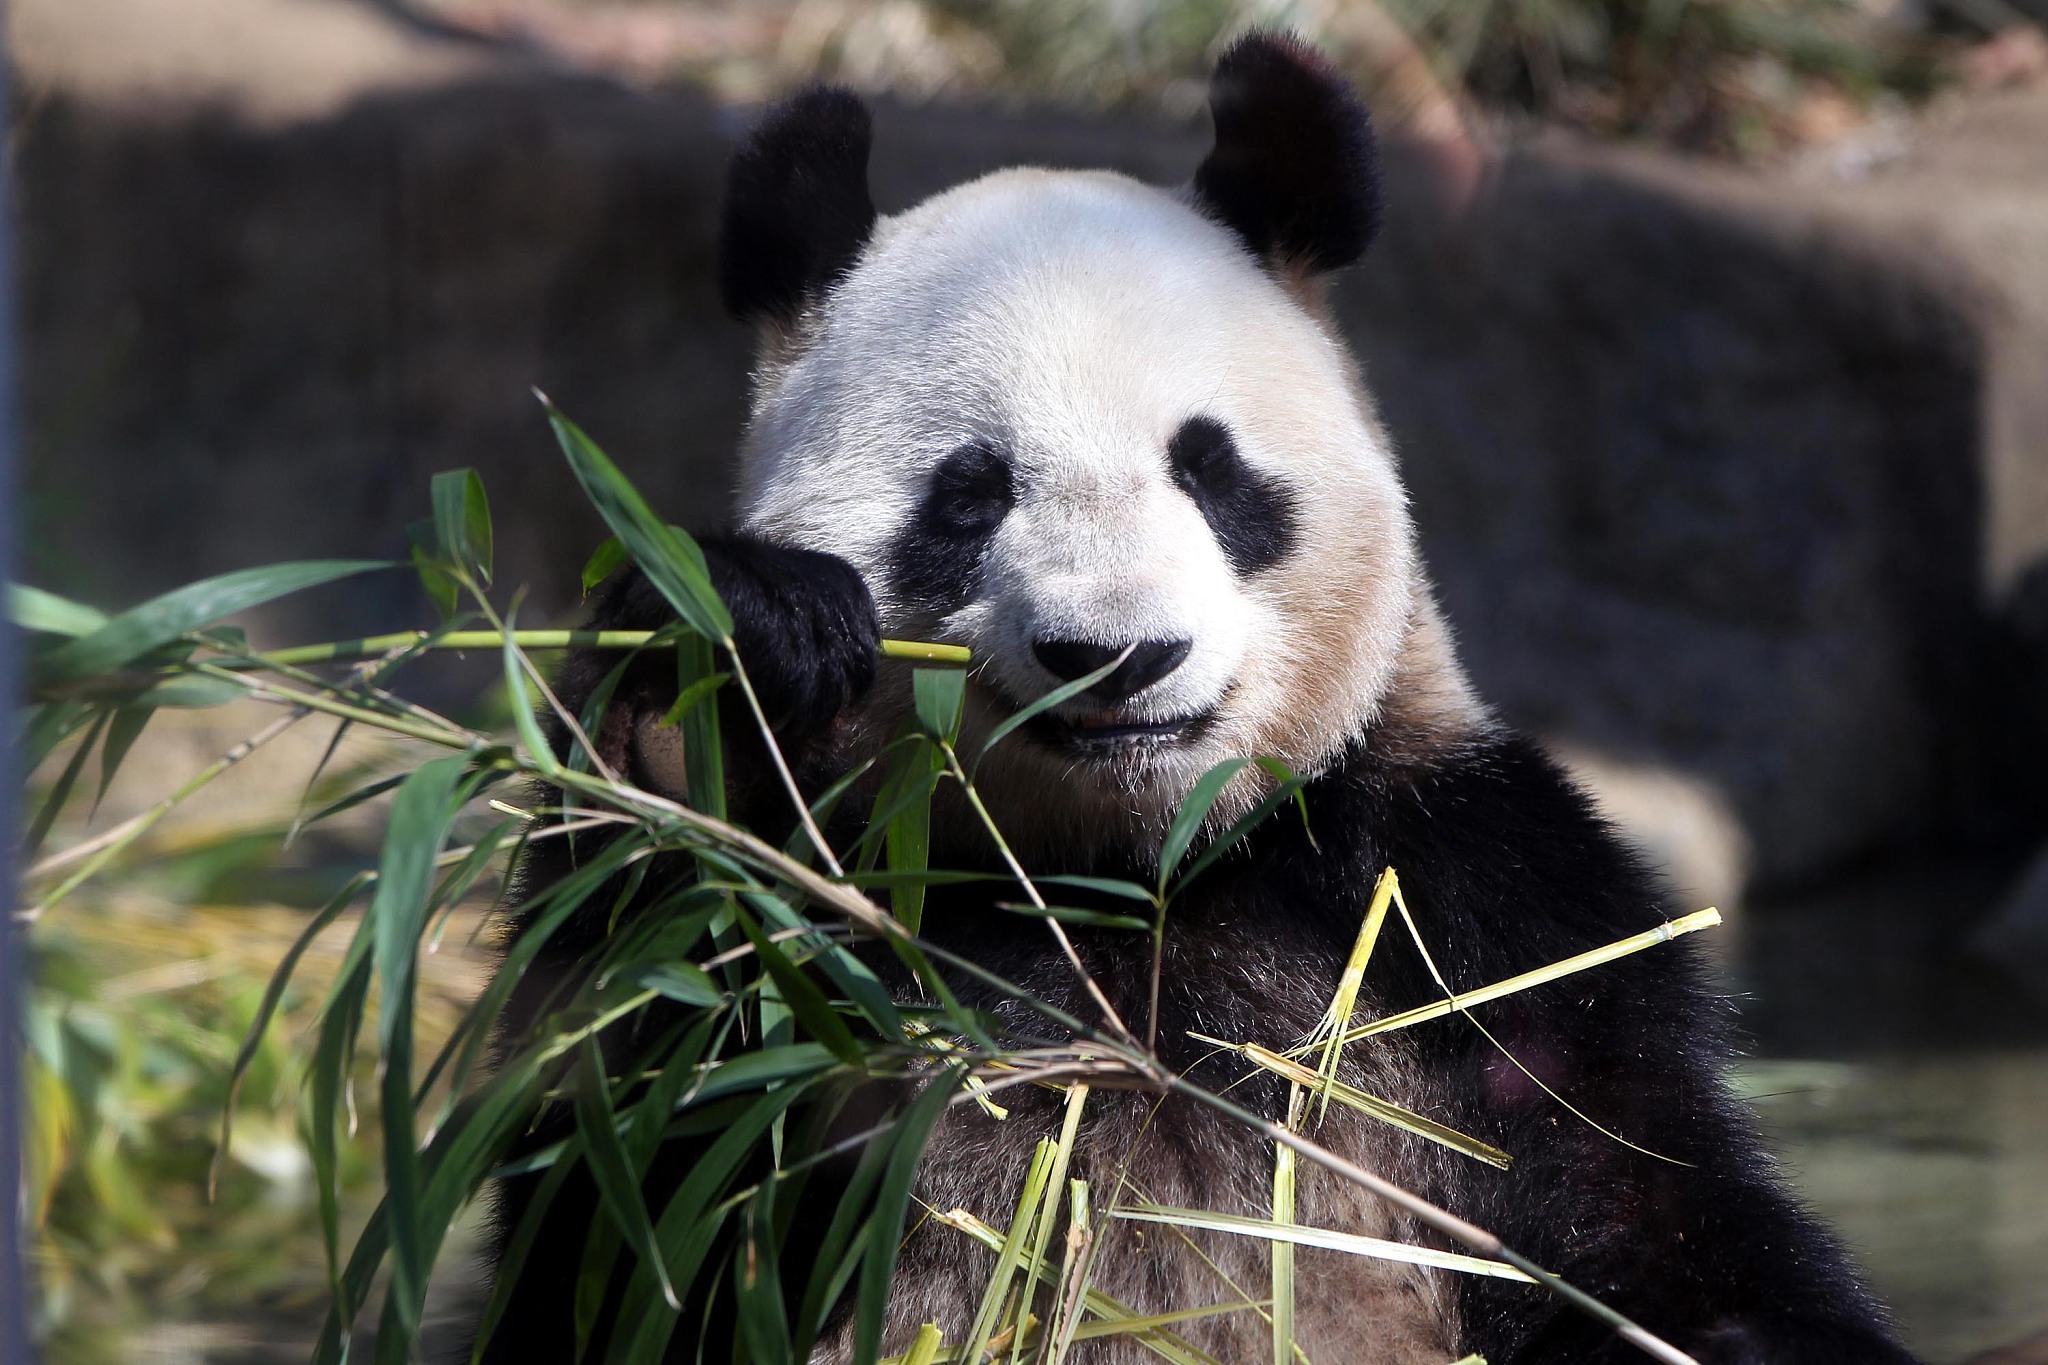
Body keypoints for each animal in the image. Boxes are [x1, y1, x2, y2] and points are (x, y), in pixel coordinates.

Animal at [479, 31, 1916, 1365]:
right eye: (968, 494)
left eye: (1210, 469)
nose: (1117, 653)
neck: (1129, 873)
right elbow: (616, 1189)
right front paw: (717, 681)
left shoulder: (1461, 898)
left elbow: (1640, 1199)